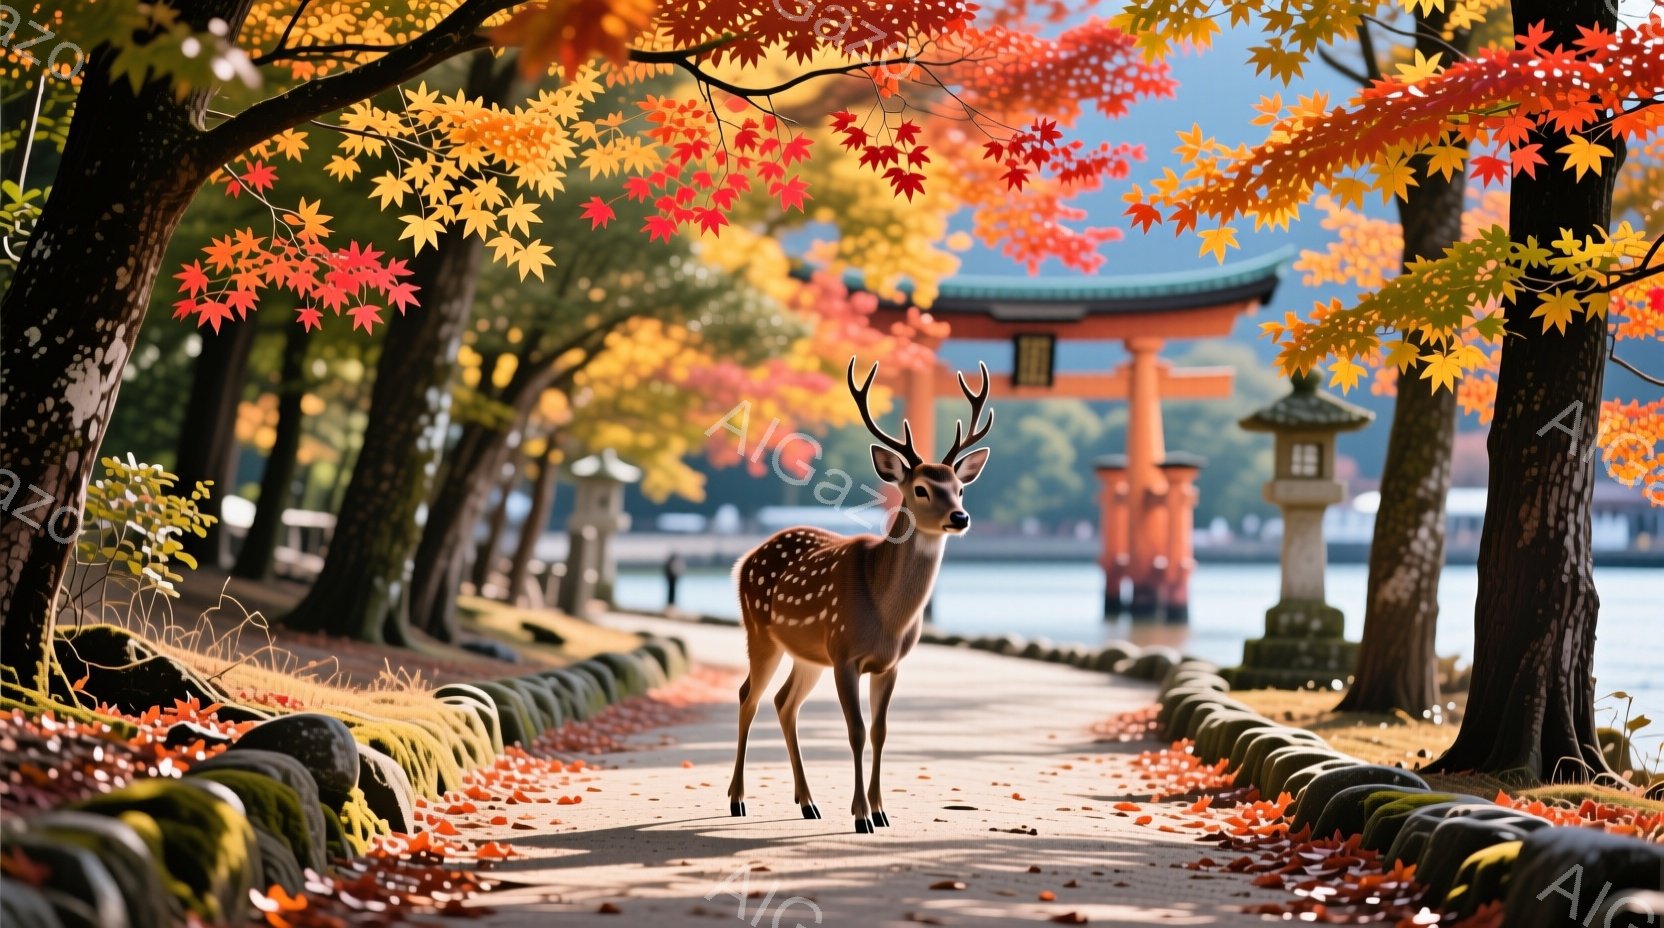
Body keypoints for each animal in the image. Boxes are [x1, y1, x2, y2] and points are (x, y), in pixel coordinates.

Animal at [727, 356, 994, 834]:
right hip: (760, 632)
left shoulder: (889, 663)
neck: (888, 616)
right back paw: (738, 800)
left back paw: (807, 802)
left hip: (808, 654)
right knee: (748, 696)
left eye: (960, 488)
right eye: (921, 488)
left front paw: (882, 811)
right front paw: (860, 815)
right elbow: (854, 731)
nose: (960, 517)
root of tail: (744, 560)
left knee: (784, 702)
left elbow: (880, 731)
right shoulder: (845, 653)